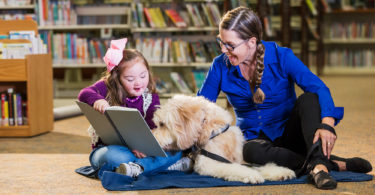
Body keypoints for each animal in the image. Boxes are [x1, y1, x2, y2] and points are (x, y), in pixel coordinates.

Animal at [153, 95, 296, 184]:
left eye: (162, 124)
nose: (153, 137)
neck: (213, 132)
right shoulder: (207, 164)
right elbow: (233, 168)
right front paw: (252, 175)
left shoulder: (241, 159)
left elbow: (259, 166)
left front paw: (280, 172)